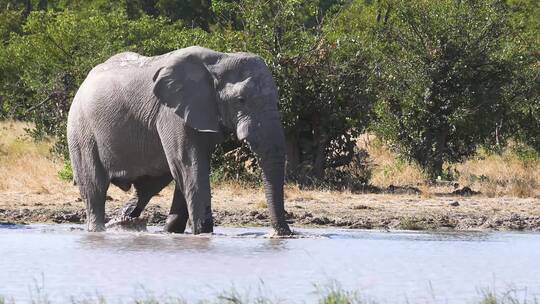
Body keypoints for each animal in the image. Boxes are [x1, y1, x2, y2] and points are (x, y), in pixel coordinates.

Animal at [69, 45, 294, 235]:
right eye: (241, 100)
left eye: (276, 100)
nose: (283, 234)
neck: (221, 58)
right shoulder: (171, 114)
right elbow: (189, 166)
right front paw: (202, 233)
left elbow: (186, 169)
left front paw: (174, 231)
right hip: (80, 131)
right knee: (94, 187)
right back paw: (100, 229)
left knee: (148, 187)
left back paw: (124, 222)